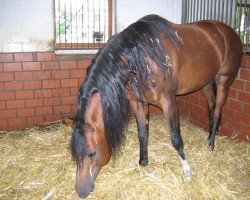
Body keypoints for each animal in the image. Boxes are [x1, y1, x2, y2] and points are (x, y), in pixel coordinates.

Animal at [70, 14, 242, 198]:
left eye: (92, 153)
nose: (81, 191)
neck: (142, 58)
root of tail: (228, 31)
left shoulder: (169, 103)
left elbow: (176, 139)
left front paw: (187, 172)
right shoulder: (138, 102)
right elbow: (143, 133)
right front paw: (143, 161)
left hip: (224, 81)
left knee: (216, 110)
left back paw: (211, 143)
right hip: (206, 83)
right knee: (211, 107)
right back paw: (209, 136)